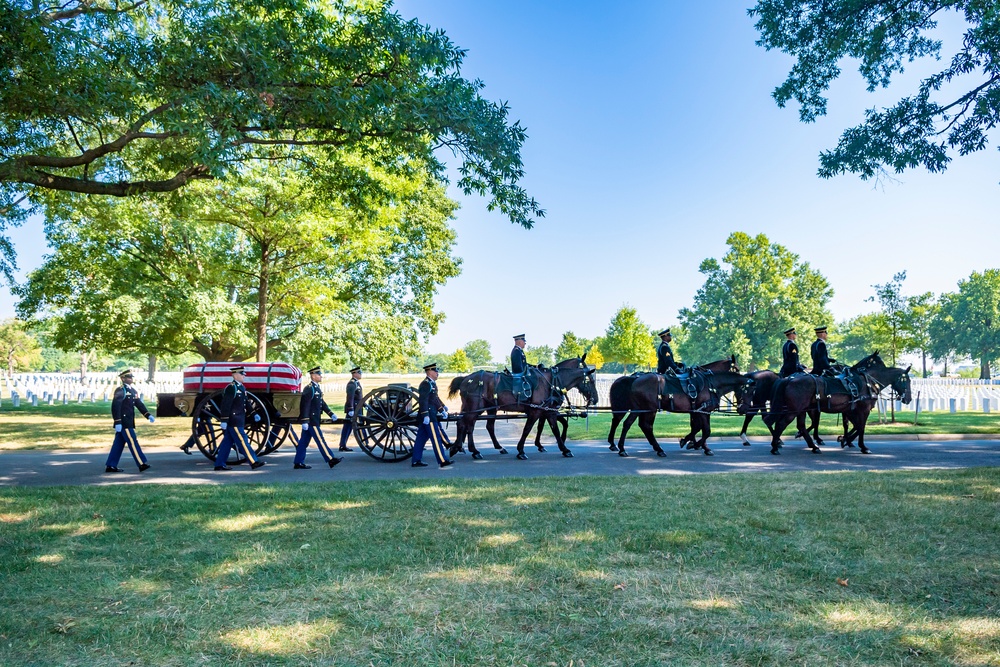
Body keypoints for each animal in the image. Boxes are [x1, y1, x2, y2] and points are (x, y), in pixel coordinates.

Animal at [450, 358, 596, 462]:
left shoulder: (548, 411)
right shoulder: (536, 411)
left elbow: (555, 429)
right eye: (590, 381)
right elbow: (528, 429)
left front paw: (563, 448)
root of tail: (465, 379)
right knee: (465, 424)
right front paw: (521, 451)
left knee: (472, 425)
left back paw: (471, 448)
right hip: (475, 408)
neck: (551, 382)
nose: (595, 399)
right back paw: (467, 449)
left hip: (482, 409)